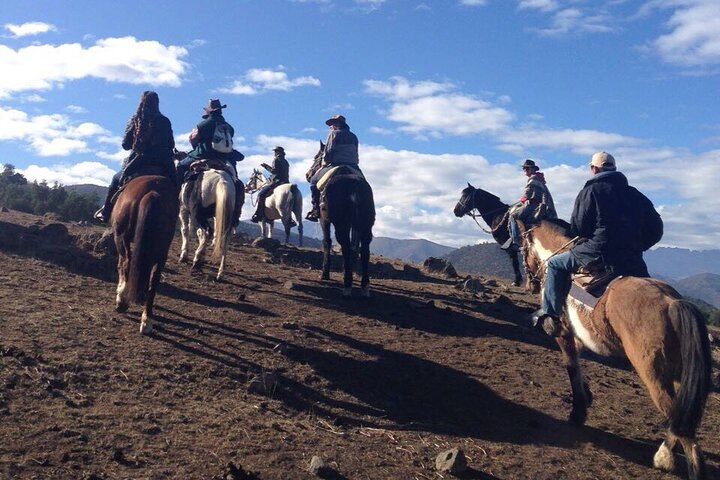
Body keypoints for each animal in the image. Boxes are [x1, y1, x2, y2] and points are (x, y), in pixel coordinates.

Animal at [113, 174, 181, 336]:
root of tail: (153, 192)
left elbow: (121, 265)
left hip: (121, 237)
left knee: (127, 263)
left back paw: (122, 300)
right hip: (162, 249)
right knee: (154, 278)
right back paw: (146, 319)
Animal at [310, 142, 376, 296]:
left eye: (316, 157)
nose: (308, 174)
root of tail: (354, 185)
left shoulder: (324, 220)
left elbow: (327, 242)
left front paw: (325, 273)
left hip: (342, 224)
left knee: (345, 247)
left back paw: (347, 285)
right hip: (365, 224)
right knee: (364, 250)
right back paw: (364, 286)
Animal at [520, 220, 712, 480]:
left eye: (523, 247)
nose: (529, 281)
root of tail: (672, 302)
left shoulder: (564, 336)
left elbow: (572, 369)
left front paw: (577, 413)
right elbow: (579, 369)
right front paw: (586, 397)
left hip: (654, 376)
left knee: (683, 429)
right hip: (679, 376)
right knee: (681, 419)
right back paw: (663, 455)